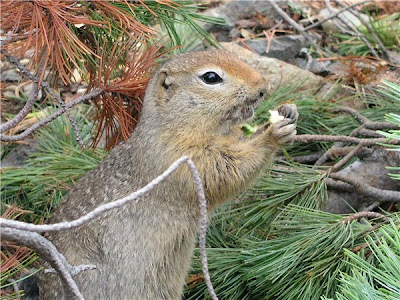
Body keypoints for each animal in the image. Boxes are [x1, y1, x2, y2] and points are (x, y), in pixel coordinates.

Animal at [35, 50, 296, 298]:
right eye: (211, 77)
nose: (263, 87)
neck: (173, 125)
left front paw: (287, 111)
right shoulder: (180, 157)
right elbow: (224, 170)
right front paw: (273, 134)